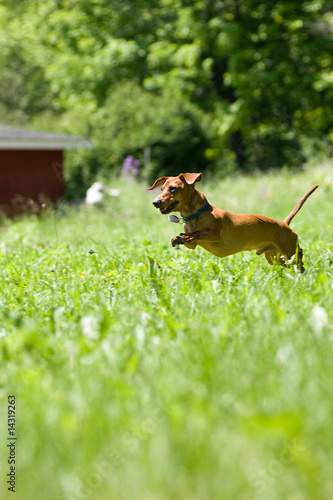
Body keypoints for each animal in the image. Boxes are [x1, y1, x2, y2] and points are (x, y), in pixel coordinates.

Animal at [147, 174, 318, 272]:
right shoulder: (193, 246)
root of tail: (284, 224)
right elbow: (188, 238)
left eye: (173, 188)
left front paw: (188, 236)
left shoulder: (215, 234)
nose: (155, 202)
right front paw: (178, 238)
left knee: (300, 257)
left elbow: (199, 233)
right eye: (161, 189)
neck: (196, 215)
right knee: (289, 264)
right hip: (274, 257)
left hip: (289, 250)